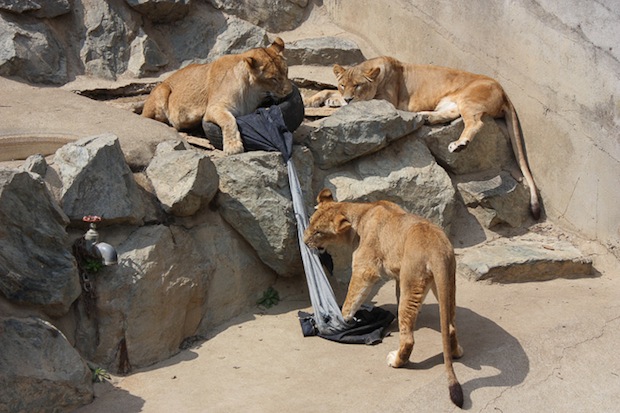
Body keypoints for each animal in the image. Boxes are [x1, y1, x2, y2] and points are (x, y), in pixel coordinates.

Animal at [143, 37, 294, 154]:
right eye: (273, 79)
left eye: (286, 72)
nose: (290, 92)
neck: (253, 92)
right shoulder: (214, 108)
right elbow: (229, 120)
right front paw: (233, 147)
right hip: (162, 91)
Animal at [302, 188, 462, 408]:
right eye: (310, 222)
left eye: (318, 232)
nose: (303, 241)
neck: (361, 215)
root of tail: (436, 247)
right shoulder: (398, 276)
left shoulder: (365, 268)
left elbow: (352, 299)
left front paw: (341, 321)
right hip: (446, 283)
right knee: (451, 326)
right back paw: (456, 352)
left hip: (412, 281)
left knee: (408, 338)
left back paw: (396, 361)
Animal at [308, 56, 540, 220]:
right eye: (343, 85)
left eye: (358, 85)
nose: (348, 97)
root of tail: (503, 91)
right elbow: (327, 91)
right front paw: (314, 100)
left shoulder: (386, 102)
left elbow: (345, 103)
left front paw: (331, 105)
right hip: (449, 102)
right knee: (451, 115)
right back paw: (425, 117)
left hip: (469, 100)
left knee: (475, 122)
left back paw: (459, 144)